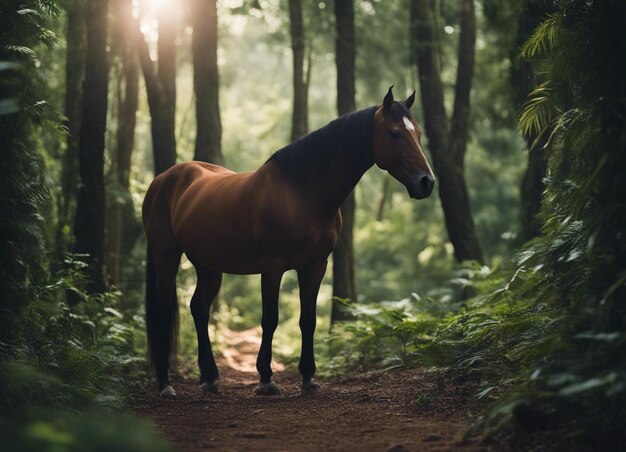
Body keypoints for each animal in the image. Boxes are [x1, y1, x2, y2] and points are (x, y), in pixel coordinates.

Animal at [143, 86, 432, 398]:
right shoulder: (272, 266)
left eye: (418, 133)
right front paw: (265, 379)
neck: (302, 193)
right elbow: (270, 318)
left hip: (207, 265)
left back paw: (209, 378)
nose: (427, 182)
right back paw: (166, 384)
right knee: (163, 312)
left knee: (198, 308)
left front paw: (307, 378)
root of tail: (162, 180)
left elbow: (308, 320)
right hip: (167, 257)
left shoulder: (315, 265)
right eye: (395, 133)